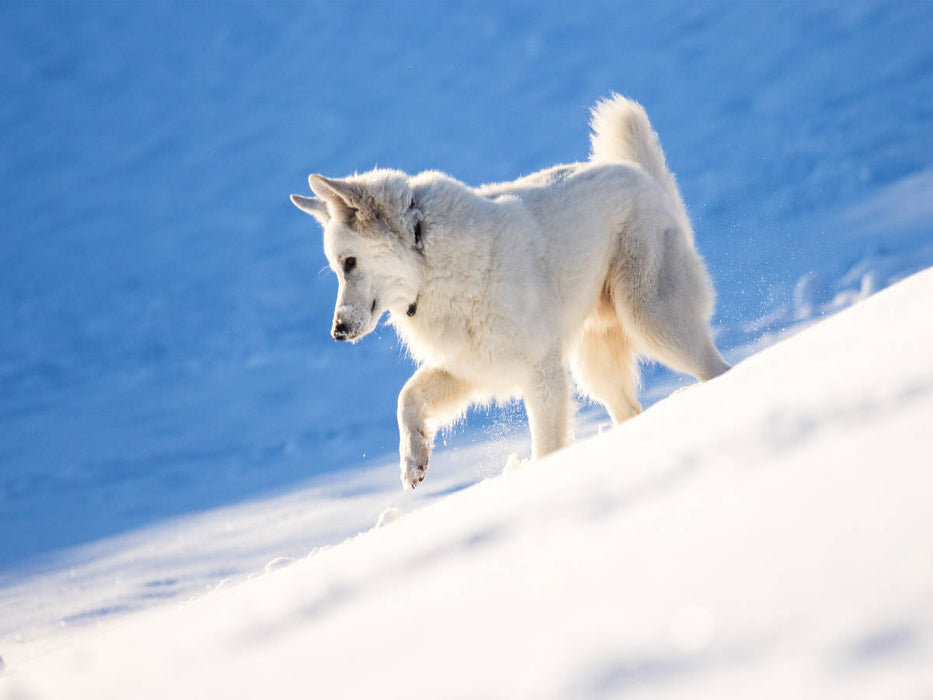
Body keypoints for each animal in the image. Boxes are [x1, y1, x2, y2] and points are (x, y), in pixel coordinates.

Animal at [291, 94, 730, 489]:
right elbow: (406, 398)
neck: (427, 257)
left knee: (716, 368)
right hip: (595, 363)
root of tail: (643, 176)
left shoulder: (541, 372)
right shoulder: (468, 365)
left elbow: (548, 447)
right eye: (337, 268)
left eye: (349, 263)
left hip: (650, 319)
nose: (337, 332)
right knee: (630, 407)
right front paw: (414, 460)